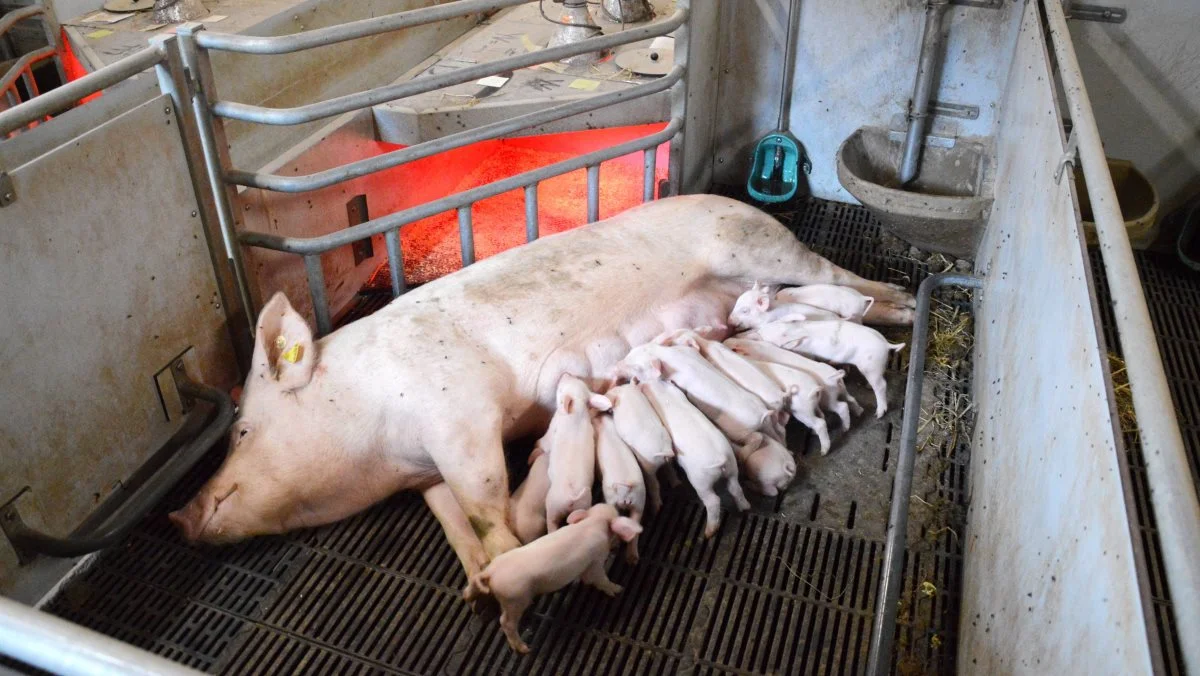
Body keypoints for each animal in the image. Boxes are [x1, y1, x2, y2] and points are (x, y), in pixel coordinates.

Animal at [169, 193, 912, 583]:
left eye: (242, 429)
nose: (180, 516)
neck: (381, 447)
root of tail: (734, 199)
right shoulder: (425, 472)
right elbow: (454, 520)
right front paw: (479, 581)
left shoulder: (459, 417)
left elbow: (485, 497)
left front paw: (513, 554)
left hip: (761, 247)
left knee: (840, 276)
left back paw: (904, 304)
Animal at [463, 504, 643, 653]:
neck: (593, 522)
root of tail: (492, 572)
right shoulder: (596, 560)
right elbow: (599, 579)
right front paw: (618, 589)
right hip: (515, 598)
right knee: (505, 622)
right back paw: (524, 649)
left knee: (470, 589)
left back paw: (469, 600)